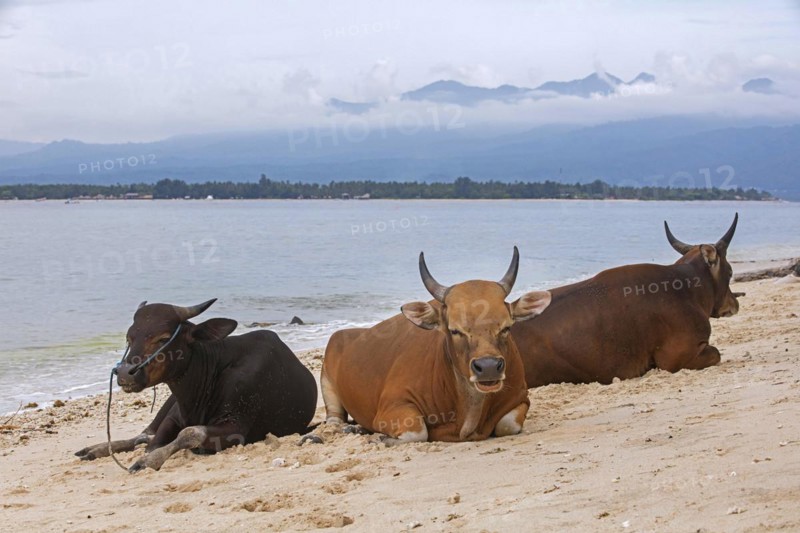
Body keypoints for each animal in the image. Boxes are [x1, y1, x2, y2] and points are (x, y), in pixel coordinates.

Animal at [75, 299, 318, 472]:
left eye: (163, 338)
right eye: (129, 337)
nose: (126, 373)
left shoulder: (236, 427)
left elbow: (189, 433)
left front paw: (147, 461)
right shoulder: (174, 415)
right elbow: (154, 441)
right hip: (166, 405)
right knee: (143, 434)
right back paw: (94, 449)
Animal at [320, 247, 552, 444]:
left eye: (506, 327)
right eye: (455, 330)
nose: (488, 367)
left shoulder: (521, 399)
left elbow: (508, 425)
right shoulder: (393, 406)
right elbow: (417, 432)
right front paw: (381, 438)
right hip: (326, 383)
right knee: (334, 419)